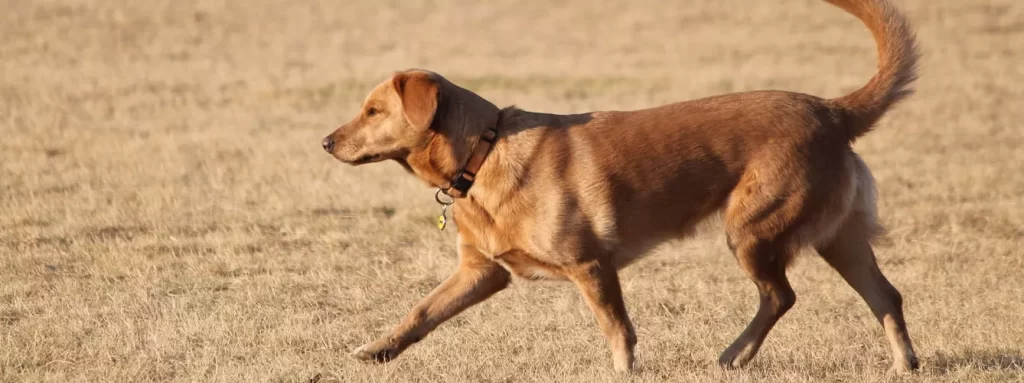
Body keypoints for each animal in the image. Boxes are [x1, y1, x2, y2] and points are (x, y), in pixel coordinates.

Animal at [319, 0, 921, 372]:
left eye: (372, 111)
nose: (325, 142)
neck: (484, 153)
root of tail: (832, 110)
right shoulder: (481, 272)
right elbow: (420, 313)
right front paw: (378, 350)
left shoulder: (591, 265)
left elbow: (617, 330)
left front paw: (623, 371)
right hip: (836, 237)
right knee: (885, 296)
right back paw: (904, 365)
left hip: (753, 229)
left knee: (780, 295)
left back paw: (735, 354)